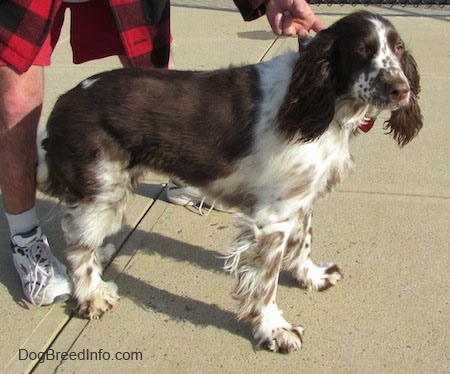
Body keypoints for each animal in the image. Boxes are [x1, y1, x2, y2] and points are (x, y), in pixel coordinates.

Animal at [37, 10, 422, 352]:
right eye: (362, 49)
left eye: (399, 49)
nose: (401, 89)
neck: (320, 103)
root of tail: (65, 100)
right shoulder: (272, 218)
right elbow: (266, 283)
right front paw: (274, 330)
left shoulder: (299, 198)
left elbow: (303, 245)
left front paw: (312, 278)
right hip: (104, 192)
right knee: (78, 249)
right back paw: (91, 295)